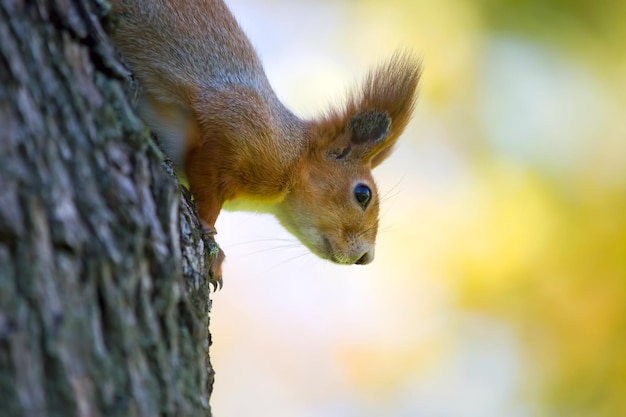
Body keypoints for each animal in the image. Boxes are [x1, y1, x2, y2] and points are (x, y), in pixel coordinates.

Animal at [108, 0, 420, 290]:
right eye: (363, 194)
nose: (367, 257)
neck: (293, 158)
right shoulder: (234, 128)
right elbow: (208, 186)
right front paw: (212, 239)